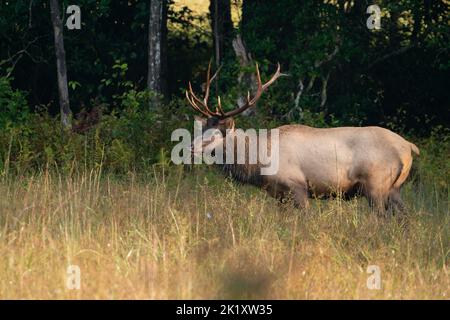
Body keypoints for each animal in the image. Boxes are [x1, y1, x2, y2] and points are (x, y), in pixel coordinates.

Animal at [185, 62, 418, 212]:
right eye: (201, 129)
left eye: (216, 134)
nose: (191, 148)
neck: (259, 166)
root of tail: (408, 147)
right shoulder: (279, 195)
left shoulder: (297, 187)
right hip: (394, 188)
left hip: (376, 185)